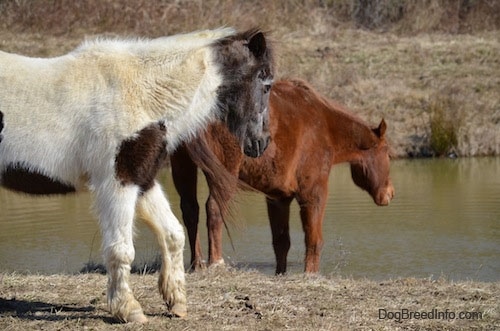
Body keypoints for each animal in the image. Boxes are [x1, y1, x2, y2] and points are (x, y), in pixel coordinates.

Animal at [0, 28, 274, 324]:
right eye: (266, 84)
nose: (262, 142)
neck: (143, 92)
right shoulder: (118, 182)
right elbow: (121, 250)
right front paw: (128, 309)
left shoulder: (143, 179)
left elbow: (173, 234)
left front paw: (176, 302)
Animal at [172, 78, 394, 274]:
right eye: (388, 152)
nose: (390, 193)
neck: (326, 126)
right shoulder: (313, 194)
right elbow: (313, 240)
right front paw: (310, 274)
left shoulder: (278, 198)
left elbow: (281, 241)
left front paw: (281, 273)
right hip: (224, 172)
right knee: (214, 209)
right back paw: (216, 262)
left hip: (183, 165)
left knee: (191, 210)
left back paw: (196, 264)